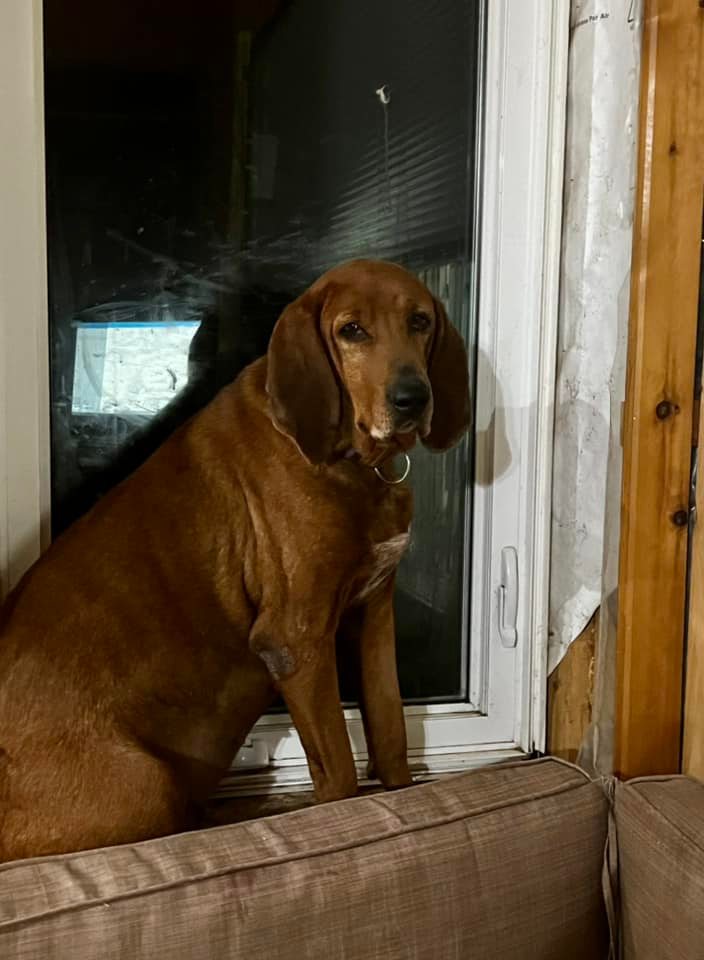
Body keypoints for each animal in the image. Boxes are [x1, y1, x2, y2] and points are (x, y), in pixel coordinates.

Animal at [0, 259, 470, 862]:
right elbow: (340, 775)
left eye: (419, 320)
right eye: (351, 331)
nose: (412, 397)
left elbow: (390, 738)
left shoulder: (374, 617)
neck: (355, 464)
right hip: (150, 786)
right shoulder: (295, 641)